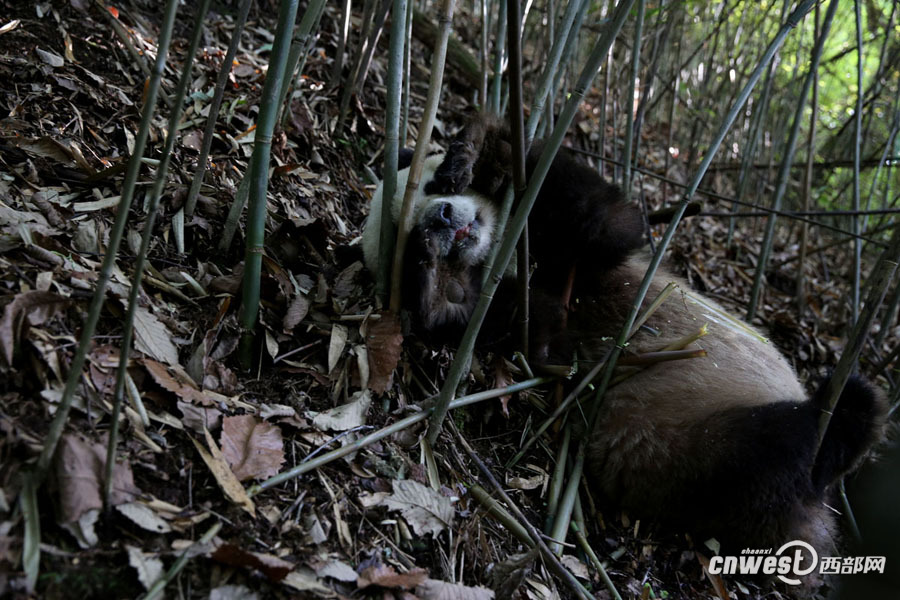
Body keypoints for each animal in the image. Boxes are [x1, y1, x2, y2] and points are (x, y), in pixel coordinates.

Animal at [362, 116, 888, 568]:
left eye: (424, 188)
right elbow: (525, 338)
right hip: (685, 454)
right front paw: (433, 282)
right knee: (760, 455)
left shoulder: (572, 253)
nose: (442, 219)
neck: (504, 256)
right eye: (404, 237)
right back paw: (837, 425)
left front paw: (473, 153)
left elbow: (605, 220)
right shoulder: (518, 314)